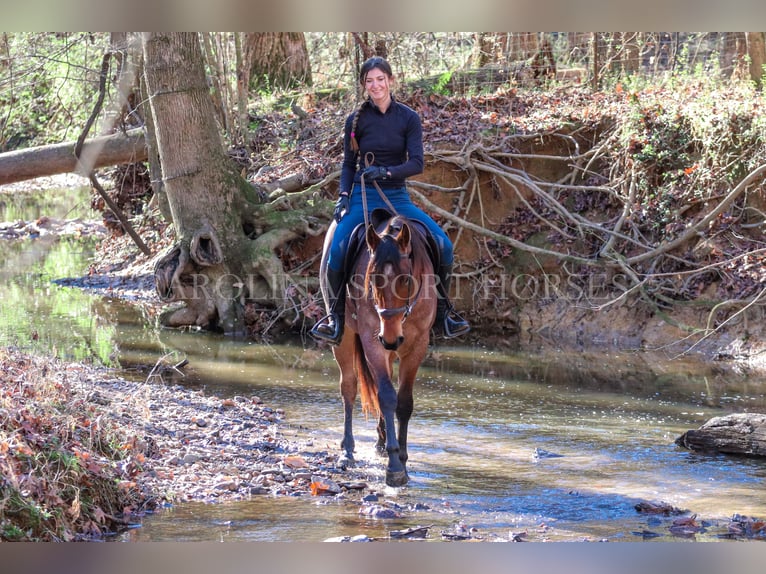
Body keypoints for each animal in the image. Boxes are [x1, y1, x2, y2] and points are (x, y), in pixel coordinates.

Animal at [320, 212, 438, 490]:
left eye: (405, 279)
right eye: (372, 279)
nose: (390, 337)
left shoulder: (416, 346)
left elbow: (403, 402)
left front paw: (402, 458)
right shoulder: (373, 341)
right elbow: (386, 396)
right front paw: (395, 467)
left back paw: (382, 441)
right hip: (346, 339)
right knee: (349, 388)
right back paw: (348, 451)